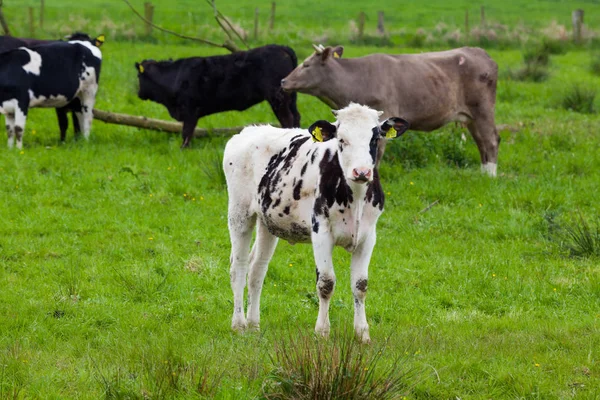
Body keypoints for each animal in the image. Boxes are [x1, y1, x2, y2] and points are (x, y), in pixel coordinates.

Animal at [138, 45, 302, 148]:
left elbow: (186, 132)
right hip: (291, 98)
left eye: (139, 77)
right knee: (296, 117)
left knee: (287, 119)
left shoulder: (190, 110)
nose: (139, 94)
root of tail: (281, 47)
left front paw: (183, 148)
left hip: (278, 99)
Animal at [223, 101, 410, 342]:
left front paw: (362, 333)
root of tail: (249, 130)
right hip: (239, 213)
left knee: (257, 268)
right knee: (239, 266)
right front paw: (322, 331)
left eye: (375, 138)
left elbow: (360, 285)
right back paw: (239, 324)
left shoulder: (369, 236)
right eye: (341, 140)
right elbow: (326, 282)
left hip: (267, 221)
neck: (356, 199)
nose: (361, 171)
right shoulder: (321, 231)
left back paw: (254, 325)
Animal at [284, 44, 500, 176]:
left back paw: (490, 175)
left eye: (306, 64)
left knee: (491, 140)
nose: (283, 81)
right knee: (481, 141)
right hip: (471, 117)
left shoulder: (384, 115)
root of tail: (481, 53)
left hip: (482, 109)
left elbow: (377, 153)